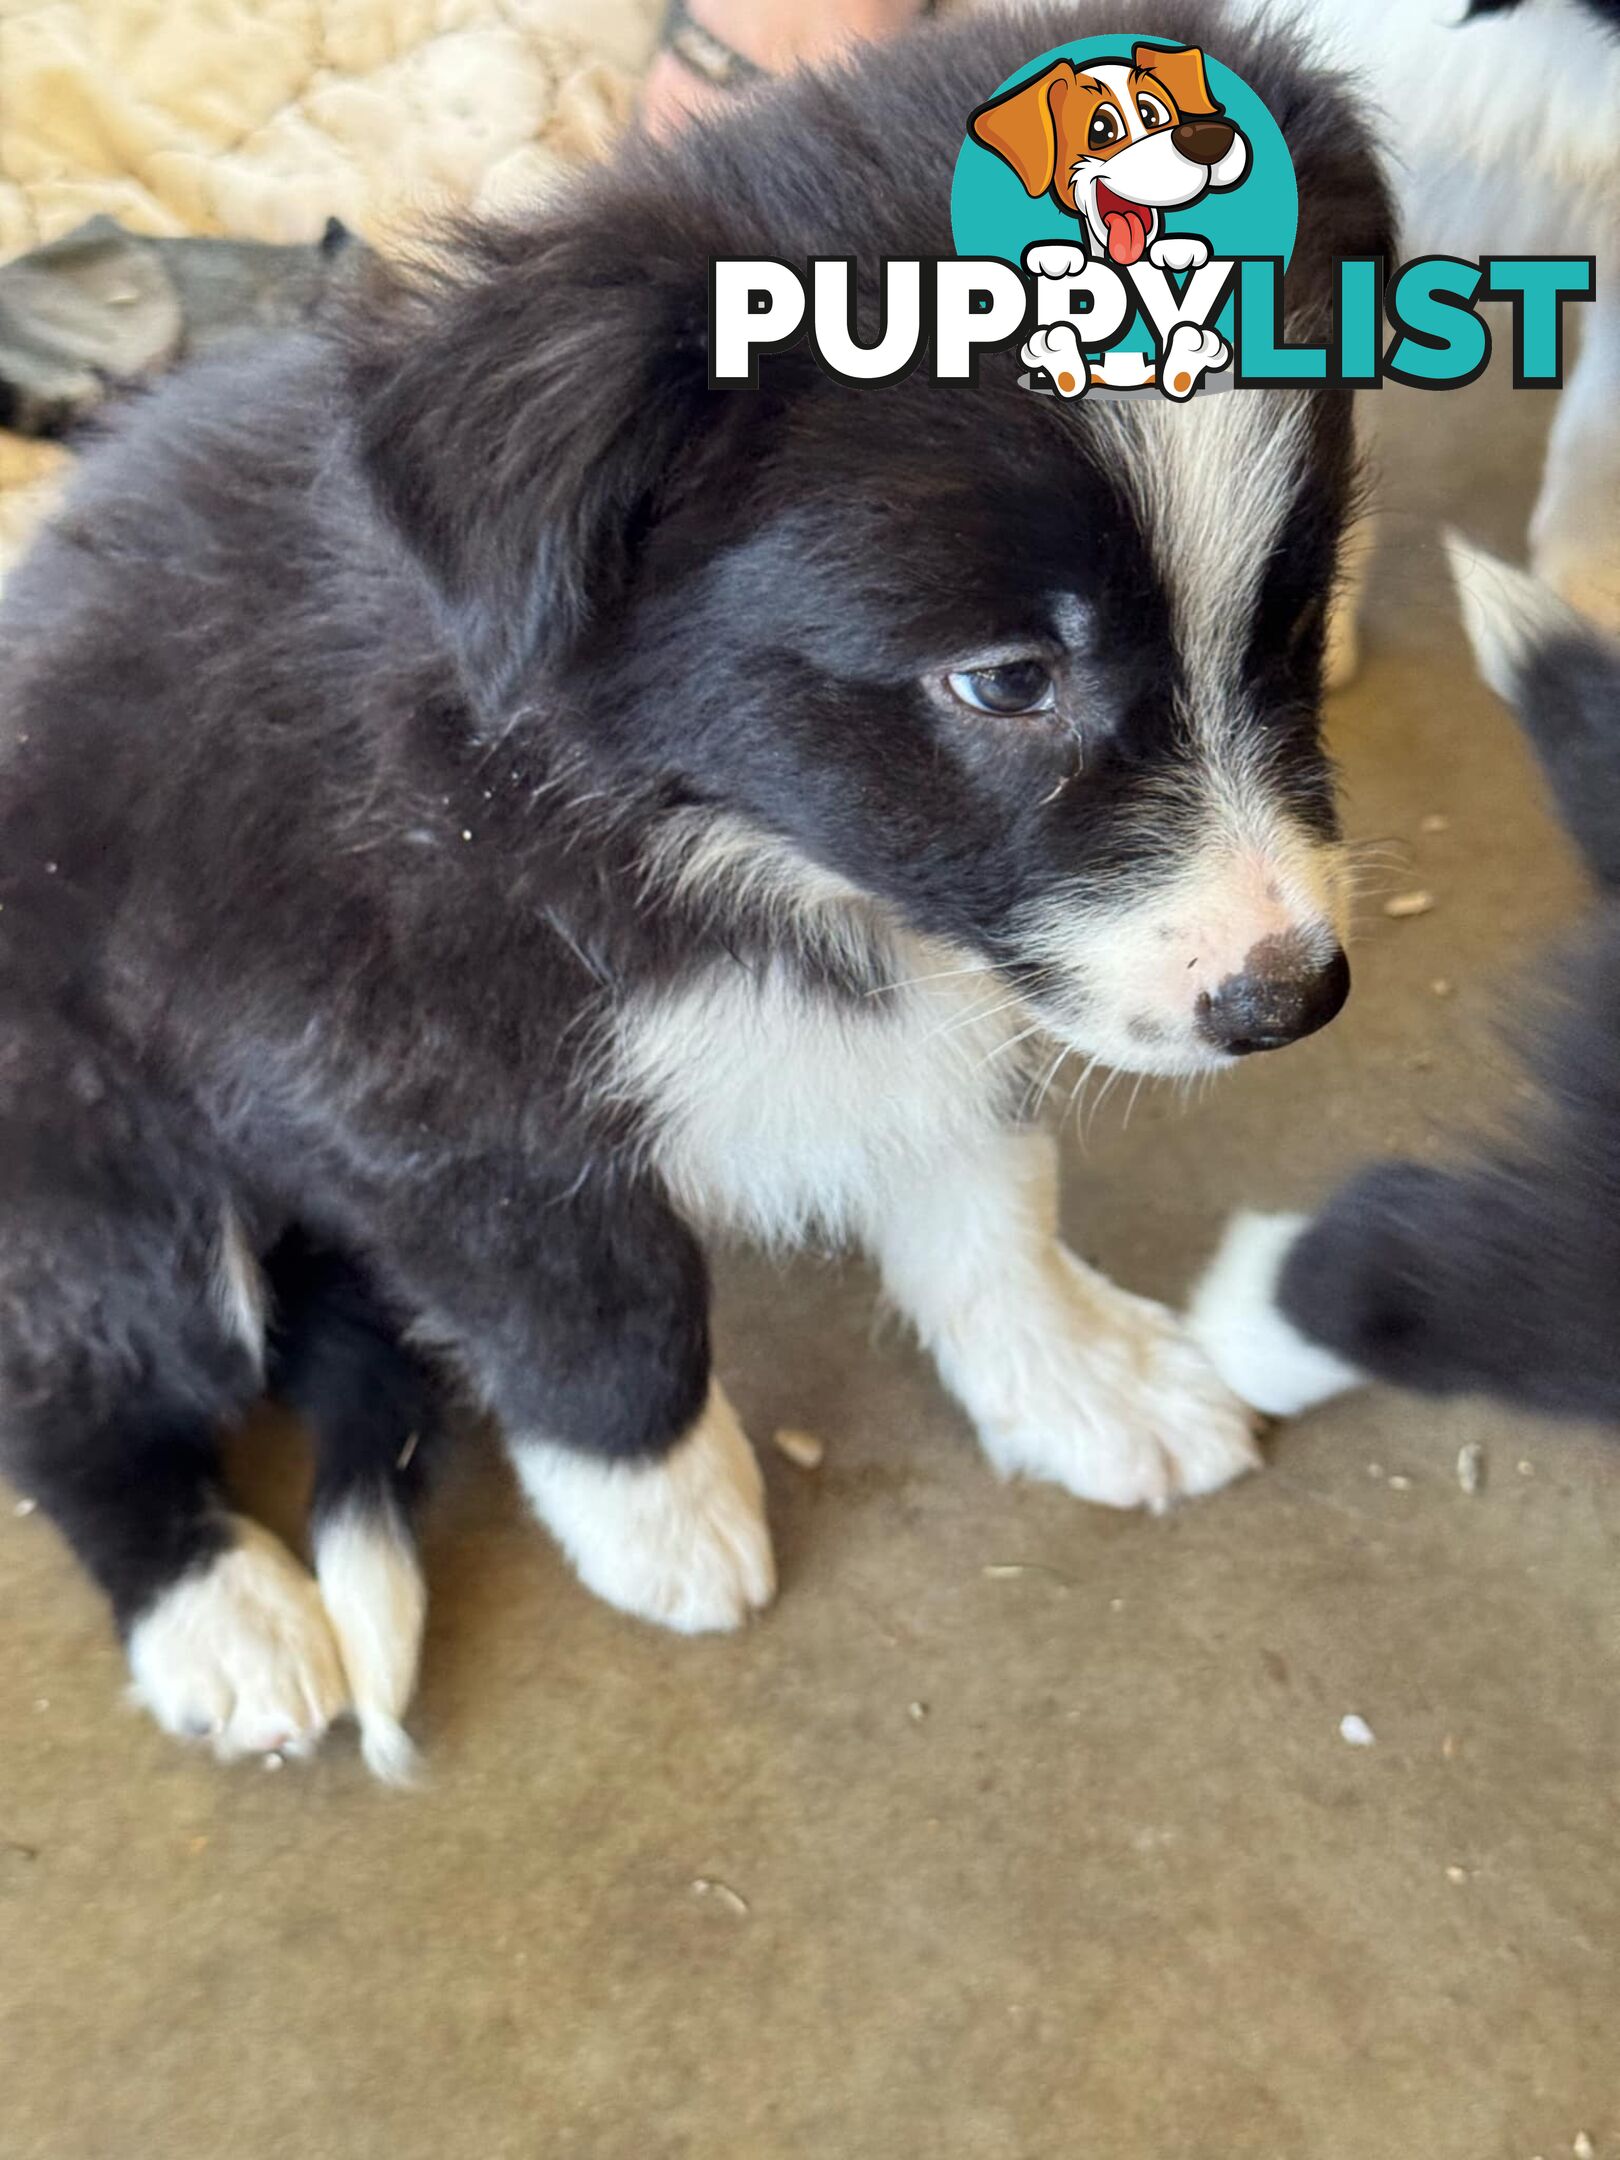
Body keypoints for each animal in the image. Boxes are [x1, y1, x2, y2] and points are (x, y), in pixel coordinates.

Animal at [0, 8, 1399, 1779]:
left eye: (1296, 604)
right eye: (1008, 680)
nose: (1290, 995)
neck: (724, 832)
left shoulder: (944, 966)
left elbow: (986, 1197)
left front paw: (1078, 1384)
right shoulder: (416, 1084)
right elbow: (599, 1307)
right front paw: (661, 1519)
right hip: (91, 1148)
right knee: (77, 1385)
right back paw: (222, 1618)